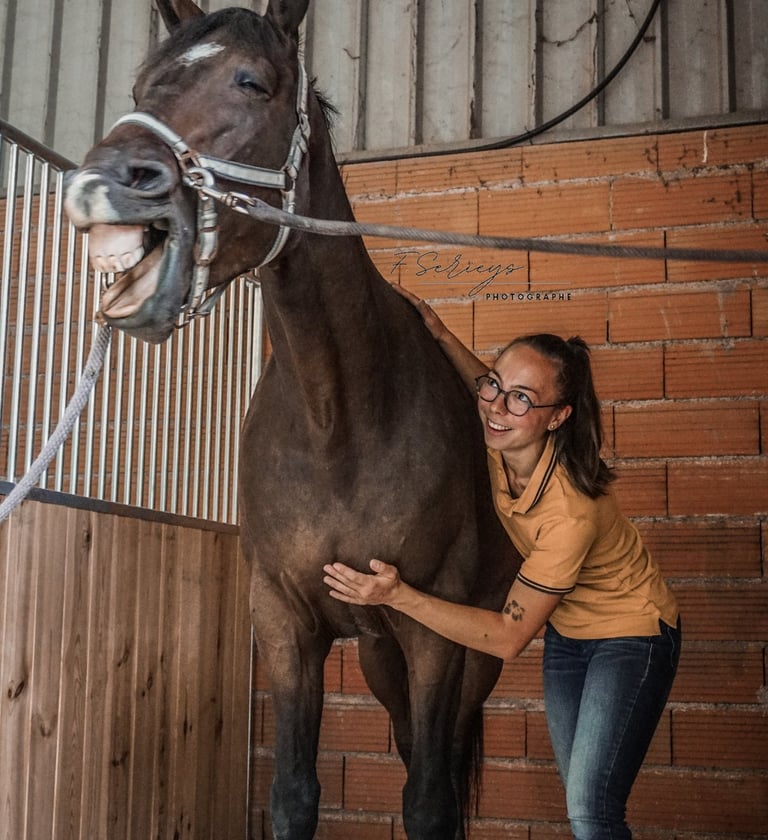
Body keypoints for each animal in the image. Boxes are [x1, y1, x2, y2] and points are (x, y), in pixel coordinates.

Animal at [64, 1, 521, 837]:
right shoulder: (282, 620)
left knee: (437, 766)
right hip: (377, 652)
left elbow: (429, 802)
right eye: (141, 87)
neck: (337, 419)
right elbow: (294, 793)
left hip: (475, 649)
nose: (97, 184)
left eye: (252, 81)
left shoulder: (436, 631)